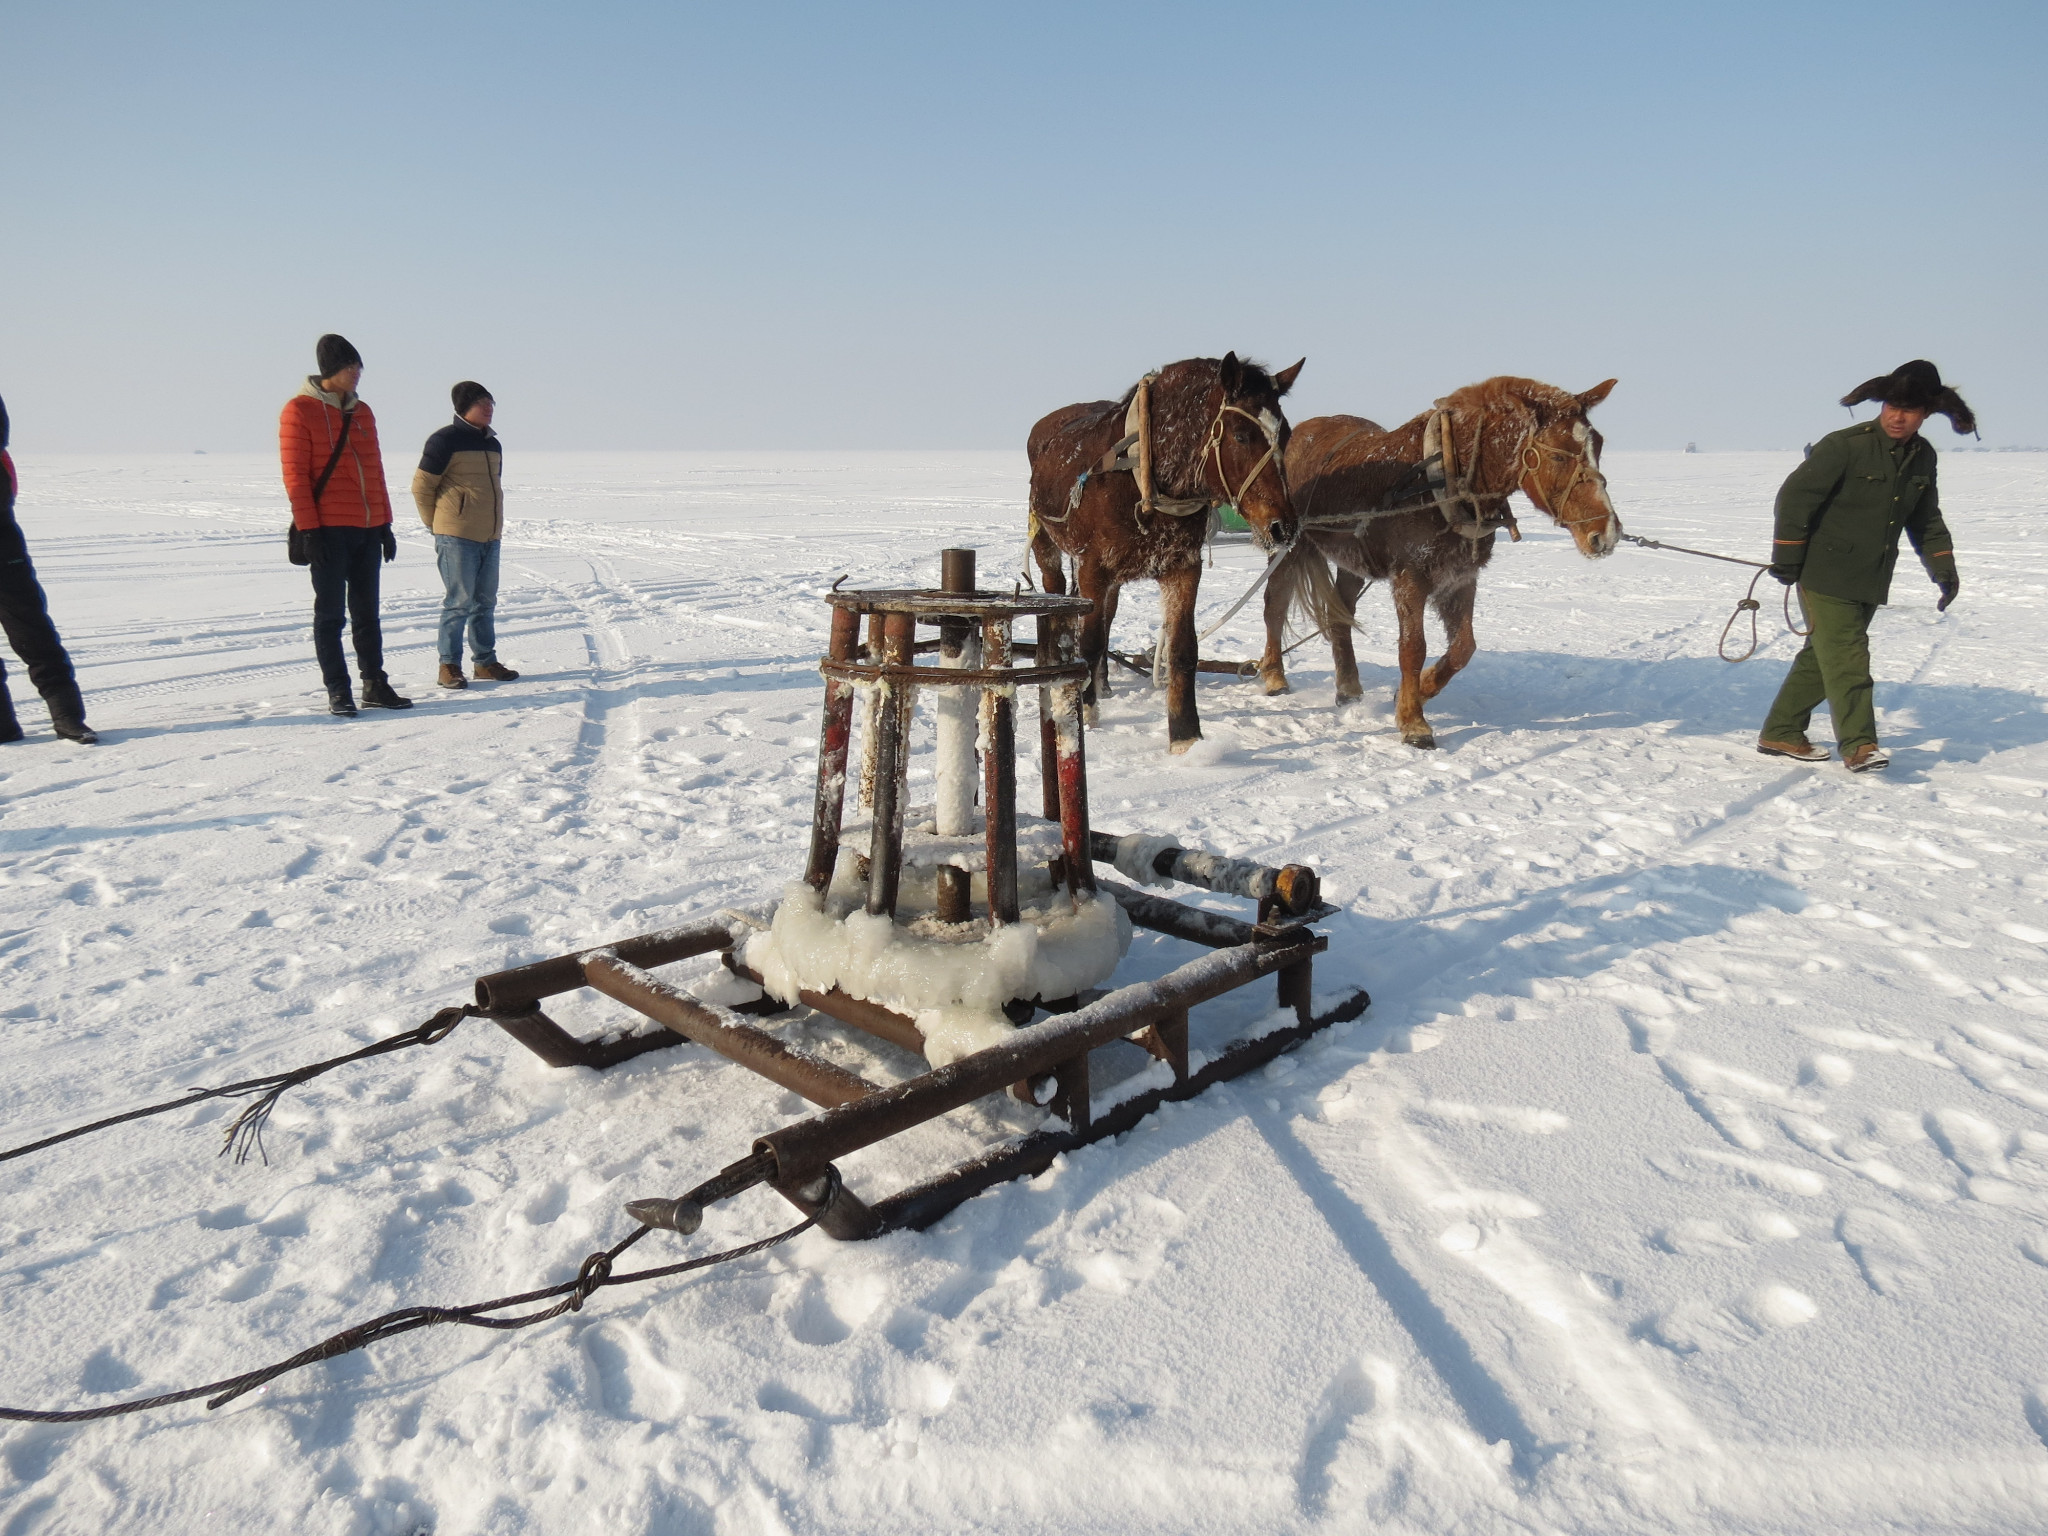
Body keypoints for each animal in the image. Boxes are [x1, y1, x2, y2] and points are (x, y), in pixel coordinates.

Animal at [1032, 350, 1302, 757]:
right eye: (1241, 435)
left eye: (1285, 435)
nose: (1283, 526)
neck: (1145, 479)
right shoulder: (1094, 567)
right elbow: (1090, 642)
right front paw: (1088, 714)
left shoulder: (1182, 567)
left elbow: (1182, 650)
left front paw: (1185, 733)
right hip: (1047, 545)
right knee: (1059, 599)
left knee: (1107, 619)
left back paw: (1104, 684)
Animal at [1253, 378, 1622, 753]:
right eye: (1559, 454)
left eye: (1598, 445)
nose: (1606, 533)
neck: (1444, 478)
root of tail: (1300, 433)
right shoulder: (1410, 578)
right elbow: (1413, 648)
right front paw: (1413, 722)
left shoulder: (1460, 578)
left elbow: (1463, 648)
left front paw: (1418, 691)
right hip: (1290, 544)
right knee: (1275, 605)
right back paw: (1275, 676)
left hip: (1352, 562)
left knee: (1340, 616)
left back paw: (1348, 689)